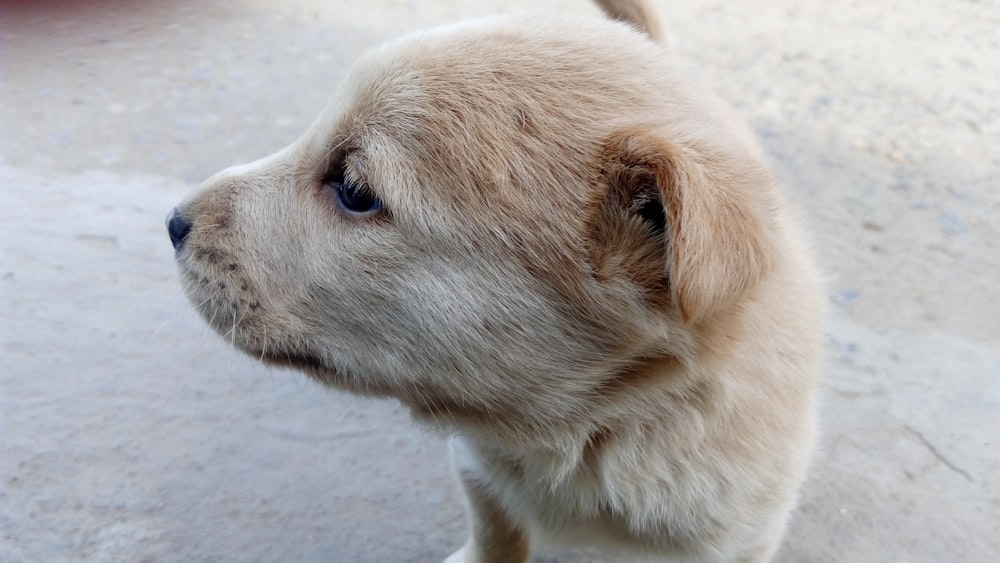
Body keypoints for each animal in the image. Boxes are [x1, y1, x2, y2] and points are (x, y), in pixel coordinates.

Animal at [166, 2, 820, 560]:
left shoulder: (737, 536)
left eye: (353, 189)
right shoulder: (479, 467)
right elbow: (495, 529)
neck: (586, 432)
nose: (174, 222)